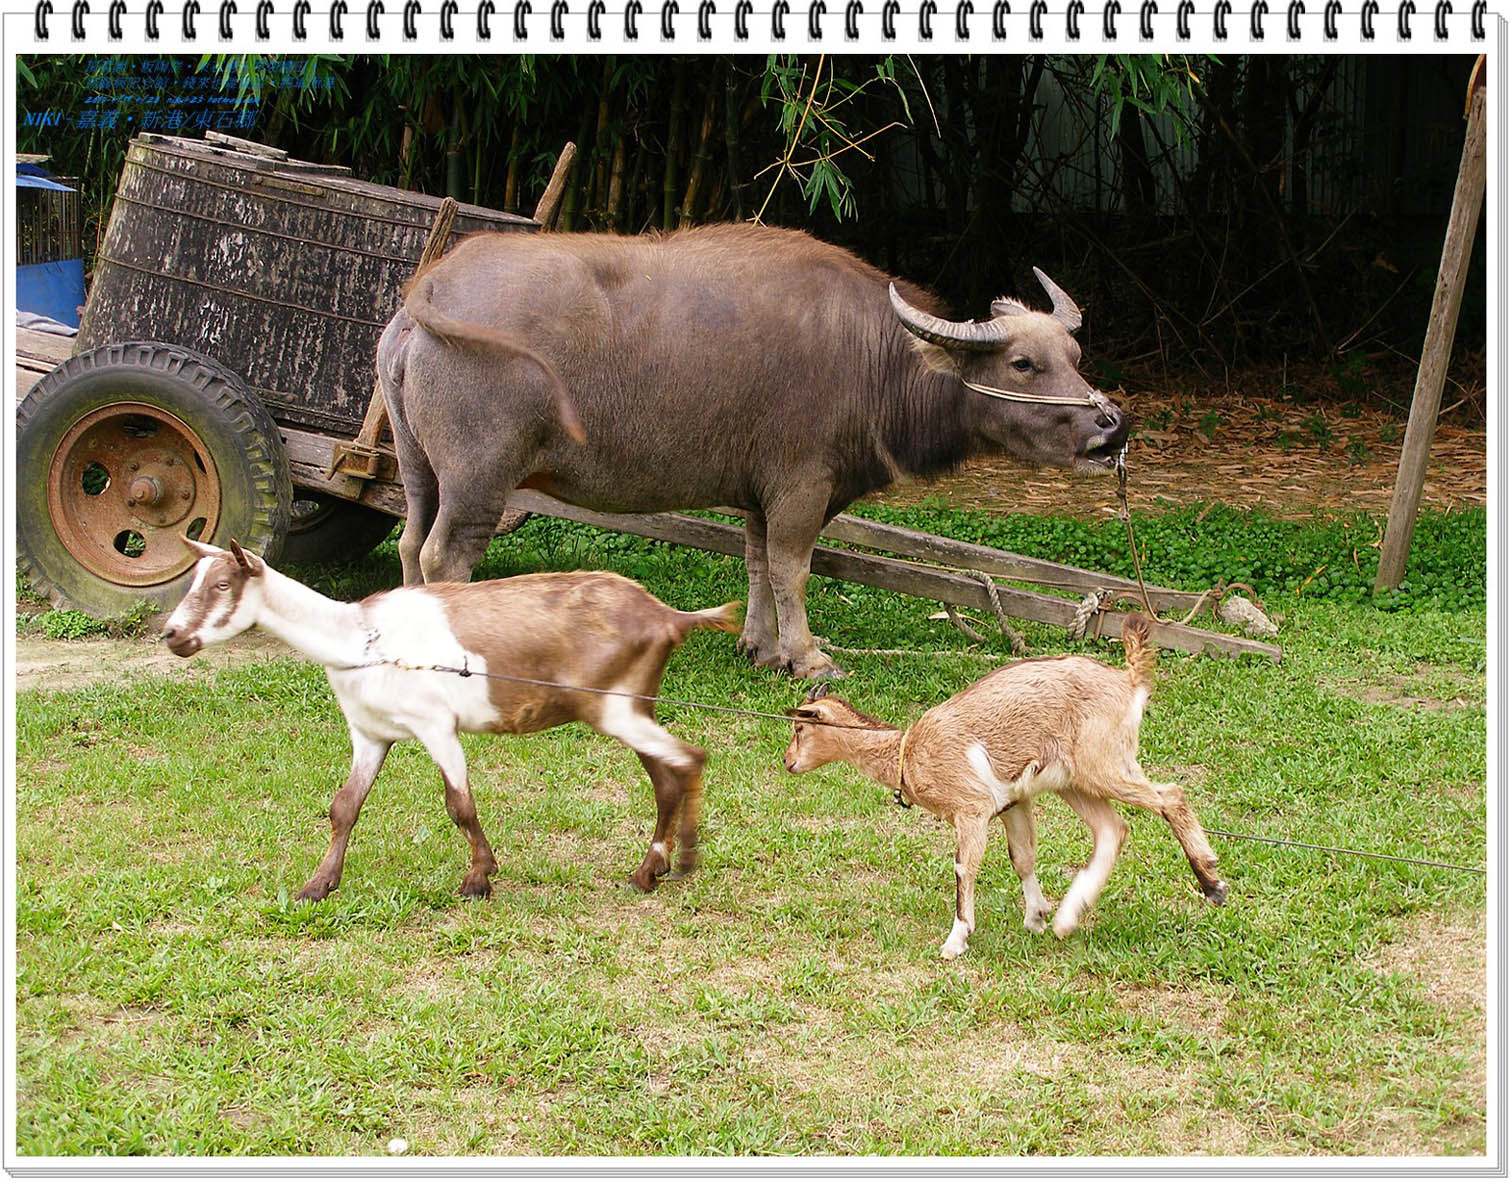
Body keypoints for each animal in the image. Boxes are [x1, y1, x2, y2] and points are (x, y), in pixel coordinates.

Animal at [162, 540, 740, 900]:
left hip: (614, 707)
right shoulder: (369, 733)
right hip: (631, 707)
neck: (357, 637)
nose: (172, 635)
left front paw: (479, 880)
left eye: (221, 585)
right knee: (667, 777)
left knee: (689, 759)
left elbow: (459, 805)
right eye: (193, 581)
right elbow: (344, 807)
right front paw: (317, 886)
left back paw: (681, 861)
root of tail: (666, 616)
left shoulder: (435, 725)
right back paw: (649, 871)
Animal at [377, 226, 1130, 679]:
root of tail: (427, 296)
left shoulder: (756, 493)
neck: (872, 361)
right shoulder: (802, 484)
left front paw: (761, 647)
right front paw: (808, 656)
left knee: (410, 542)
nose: (1110, 431)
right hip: (479, 478)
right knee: (446, 556)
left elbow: (758, 563)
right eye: (1023, 363)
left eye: (1074, 355)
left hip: (420, 470)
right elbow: (793, 567)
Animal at [785, 619, 1232, 960]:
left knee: (1171, 796)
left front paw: (955, 941)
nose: (788, 762)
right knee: (1112, 829)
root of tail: (1129, 680)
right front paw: (1036, 917)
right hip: (1076, 782)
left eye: (799, 728)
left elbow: (964, 867)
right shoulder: (1014, 803)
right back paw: (1067, 918)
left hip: (1103, 763)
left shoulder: (972, 808)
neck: (907, 753)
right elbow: (1023, 857)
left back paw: (1212, 885)